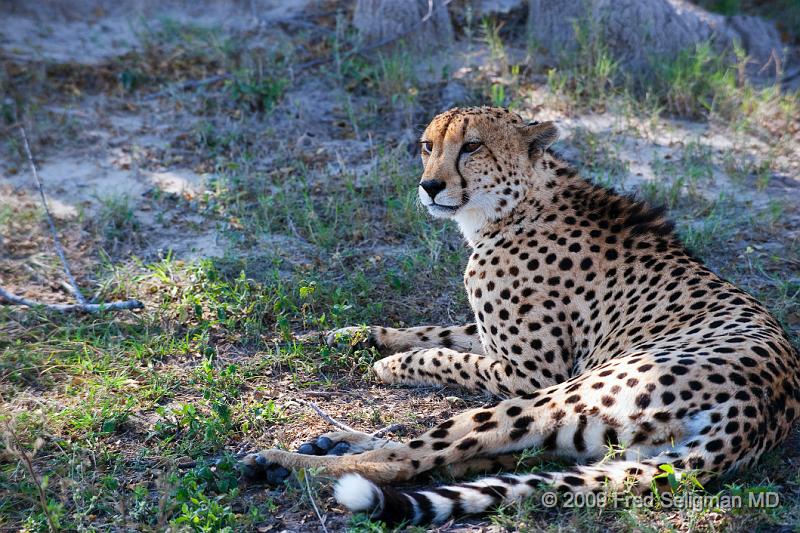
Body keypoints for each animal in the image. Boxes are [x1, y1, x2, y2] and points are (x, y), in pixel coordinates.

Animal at [240, 106, 800, 526]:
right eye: (427, 146)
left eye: (471, 147)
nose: (429, 186)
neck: (512, 206)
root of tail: (761, 411)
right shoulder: (495, 342)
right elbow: (441, 331)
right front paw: (351, 335)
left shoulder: (532, 372)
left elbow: (445, 355)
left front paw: (388, 364)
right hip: (595, 441)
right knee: (467, 454)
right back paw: (332, 439)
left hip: (556, 397)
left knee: (411, 458)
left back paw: (282, 461)